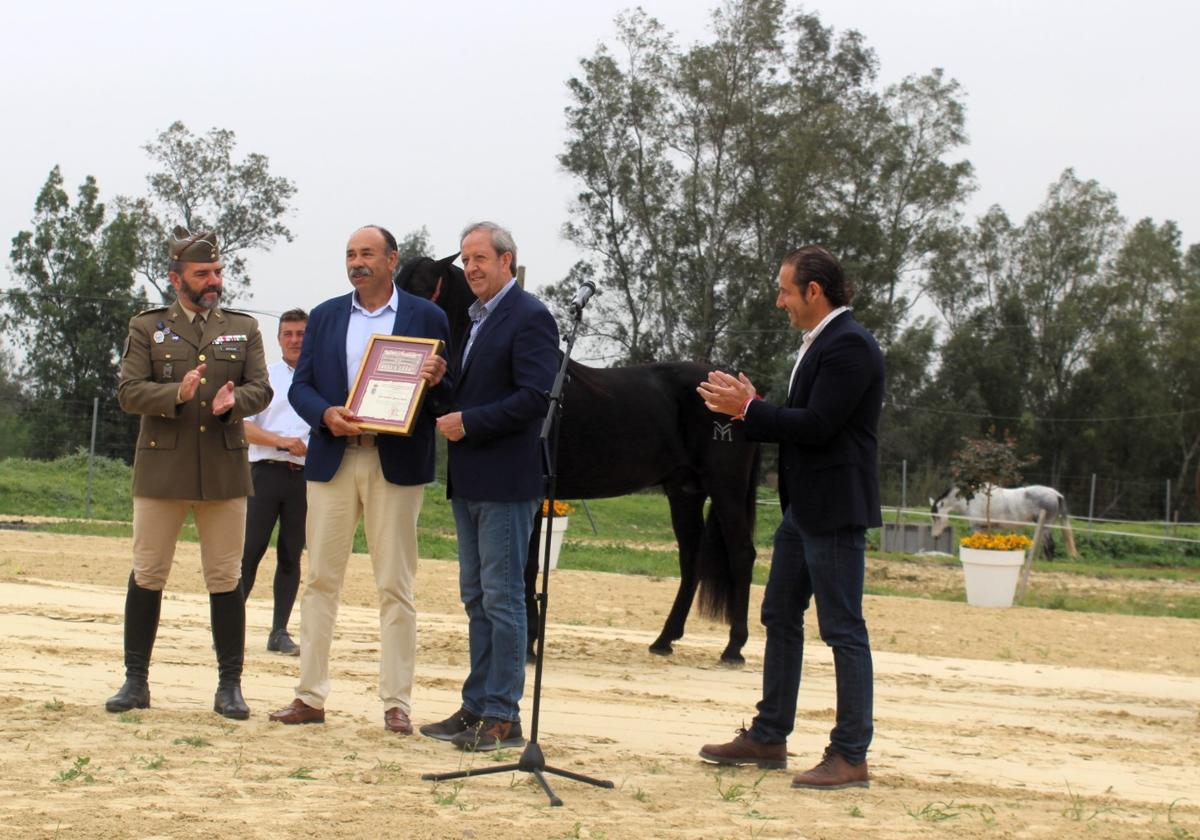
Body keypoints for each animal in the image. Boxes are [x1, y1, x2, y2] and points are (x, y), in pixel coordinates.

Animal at [403, 254, 758, 662]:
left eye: (420, 286)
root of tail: (741, 391)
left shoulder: (528, 498)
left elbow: (527, 567)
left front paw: (528, 646)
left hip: (725, 487)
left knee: (742, 554)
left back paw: (733, 648)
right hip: (684, 491)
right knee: (691, 558)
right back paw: (664, 640)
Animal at [926, 484, 1080, 556]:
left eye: (937, 517)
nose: (935, 536)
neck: (971, 500)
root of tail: (1056, 494)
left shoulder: (976, 527)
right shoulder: (984, 528)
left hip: (1045, 525)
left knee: (1050, 545)